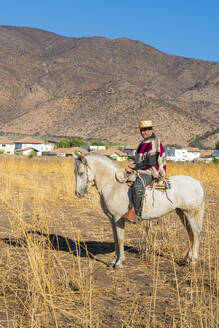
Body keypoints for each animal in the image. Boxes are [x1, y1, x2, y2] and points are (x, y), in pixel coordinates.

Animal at [74, 152, 204, 268]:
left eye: (81, 172)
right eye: (75, 172)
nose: (78, 194)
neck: (113, 185)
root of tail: (197, 183)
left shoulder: (118, 219)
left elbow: (120, 239)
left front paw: (119, 262)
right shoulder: (112, 219)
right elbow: (115, 239)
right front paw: (113, 261)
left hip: (190, 213)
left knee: (196, 233)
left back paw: (193, 262)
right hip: (182, 213)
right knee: (190, 234)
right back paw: (186, 259)